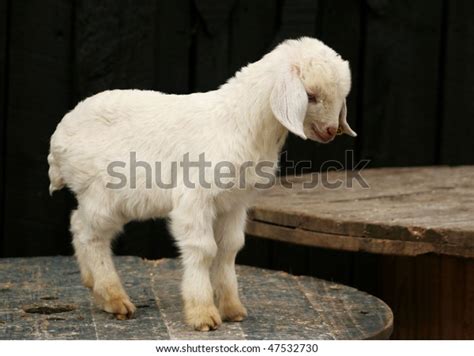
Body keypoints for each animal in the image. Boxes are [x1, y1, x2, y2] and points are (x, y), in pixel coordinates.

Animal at [48, 36, 356, 330]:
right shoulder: (195, 197)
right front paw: (203, 313)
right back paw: (114, 298)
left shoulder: (234, 203)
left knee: (78, 223)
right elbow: (204, 249)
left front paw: (231, 307)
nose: (331, 131)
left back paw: (93, 284)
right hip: (103, 194)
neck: (241, 123)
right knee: (91, 235)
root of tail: (58, 140)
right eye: (310, 96)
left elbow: (229, 248)